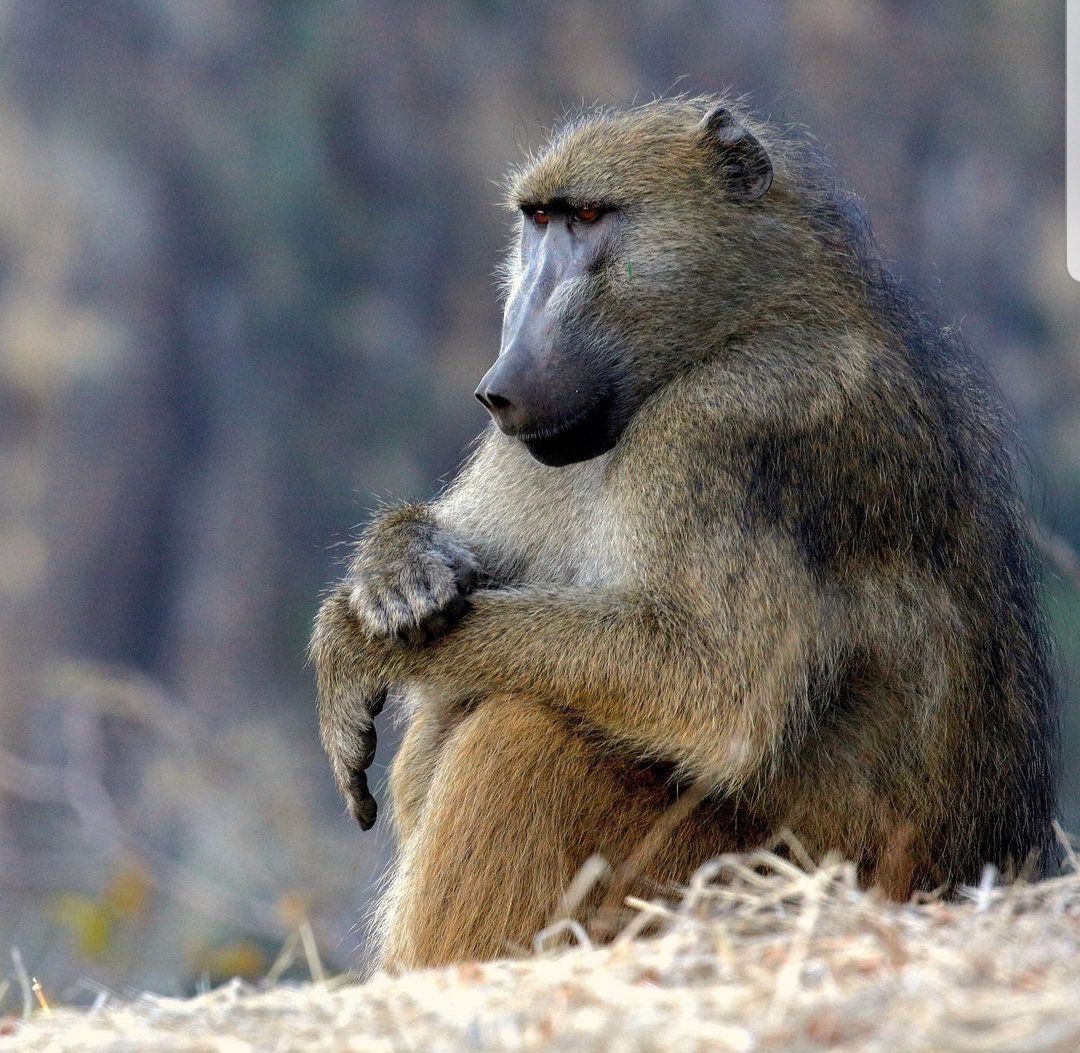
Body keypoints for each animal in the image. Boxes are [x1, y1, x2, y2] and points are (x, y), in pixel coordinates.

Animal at [310, 96, 1059, 971]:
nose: (501, 384)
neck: (738, 324)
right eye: (538, 221)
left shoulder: (730, 423)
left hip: (743, 877)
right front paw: (395, 566)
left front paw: (351, 644)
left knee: (524, 733)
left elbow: (714, 686)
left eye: (590, 217)